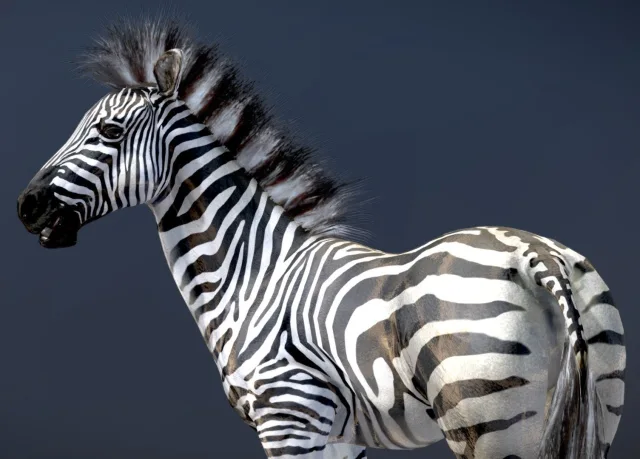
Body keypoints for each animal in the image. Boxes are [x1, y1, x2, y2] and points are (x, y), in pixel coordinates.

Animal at [17, 19, 625, 459]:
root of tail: (537, 256)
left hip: (489, 420)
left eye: (108, 131)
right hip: (591, 413)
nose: (26, 207)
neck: (251, 273)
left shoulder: (288, 417)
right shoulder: (336, 434)